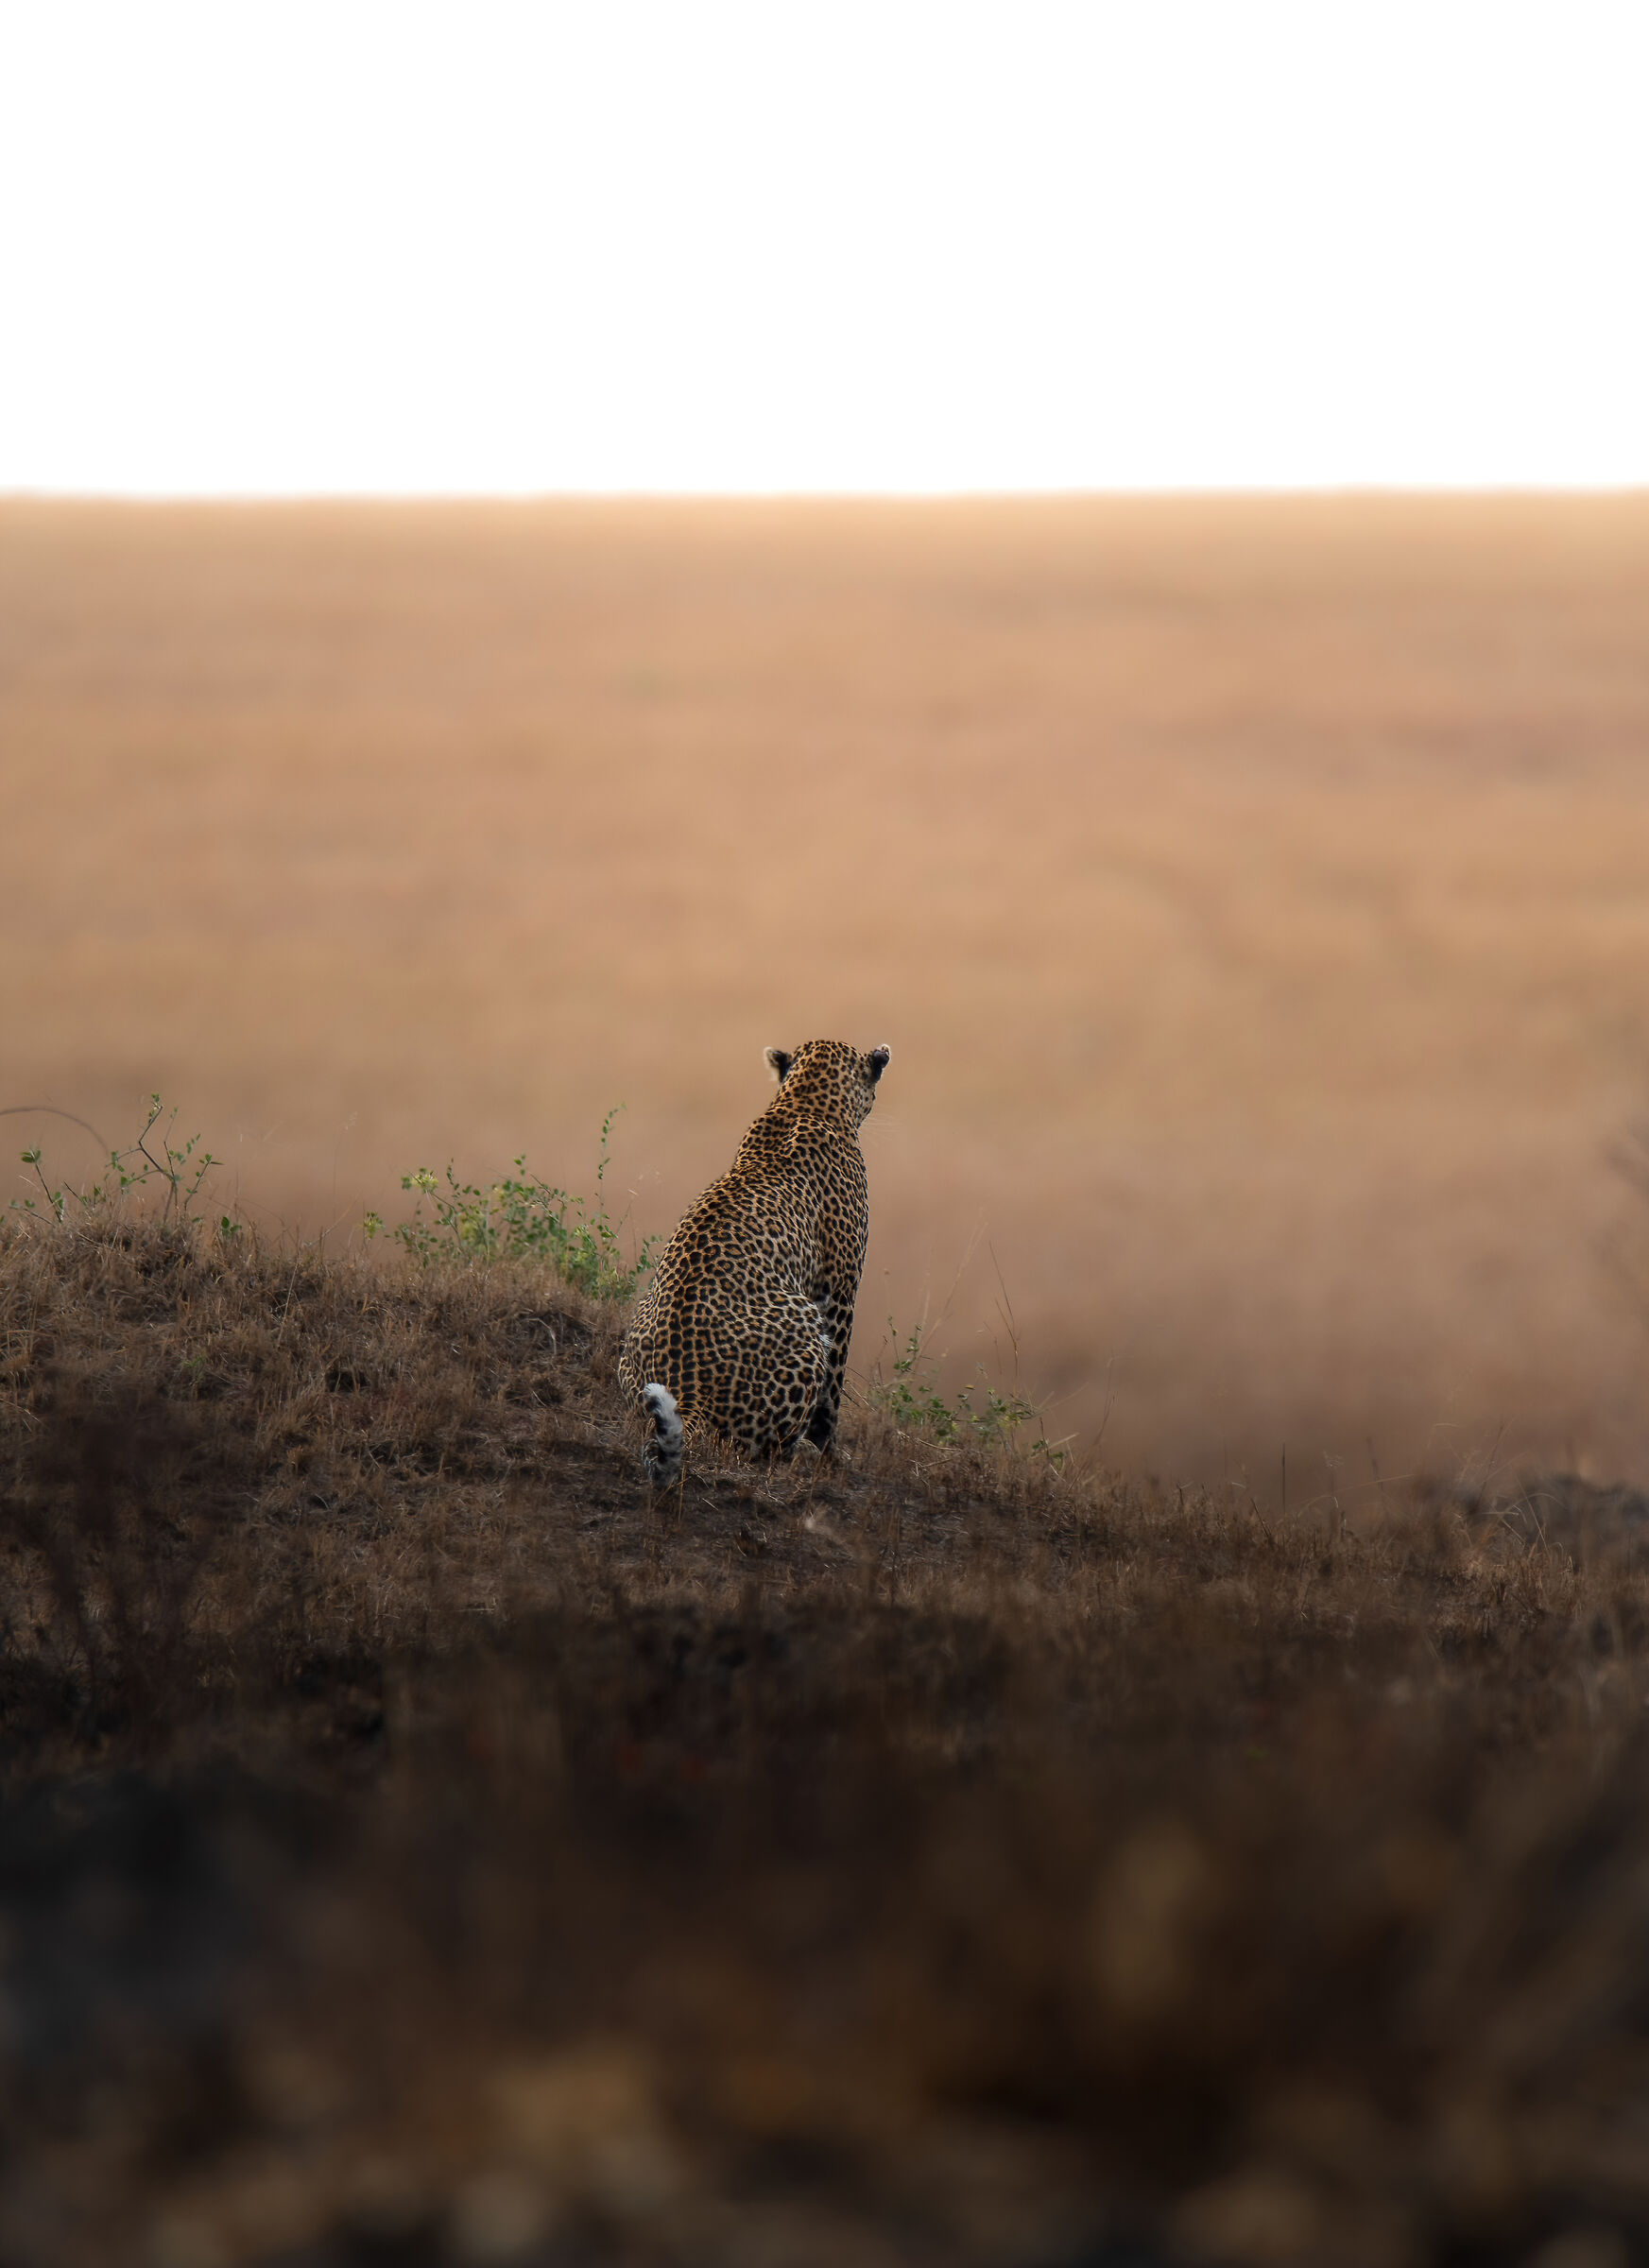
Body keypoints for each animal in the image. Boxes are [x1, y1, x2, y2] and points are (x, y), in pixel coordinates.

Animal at [617, 1039, 891, 1486]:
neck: (803, 1102)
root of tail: (688, 1395)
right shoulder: (839, 1288)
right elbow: (834, 1388)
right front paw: (831, 1454)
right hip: (806, 1322)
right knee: (762, 1448)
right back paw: (800, 1454)